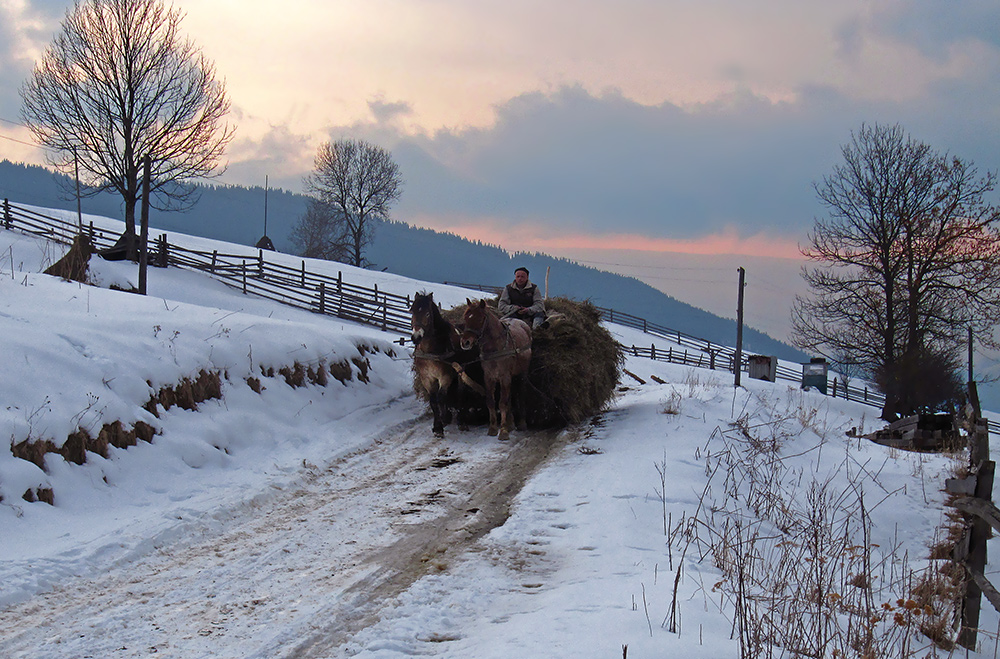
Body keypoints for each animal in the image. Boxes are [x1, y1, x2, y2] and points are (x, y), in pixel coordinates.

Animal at [410, 292, 480, 438]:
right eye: (412, 311)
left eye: (427, 314)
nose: (416, 337)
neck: (431, 350)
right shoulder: (427, 378)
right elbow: (433, 400)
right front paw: (438, 425)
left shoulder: (445, 376)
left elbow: (441, 397)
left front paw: (443, 420)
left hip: (461, 370)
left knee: (460, 392)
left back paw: (461, 420)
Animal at [458, 302, 532, 440]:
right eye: (466, 318)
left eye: (480, 319)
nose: (465, 342)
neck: (495, 348)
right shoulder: (489, 377)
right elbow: (491, 402)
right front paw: (493, 428)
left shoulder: (504, 376)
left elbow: (502, 403)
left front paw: (503, 431)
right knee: (510, 397)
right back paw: (511, 422)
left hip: (522, 373)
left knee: (521, 393)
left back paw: (521, 423)